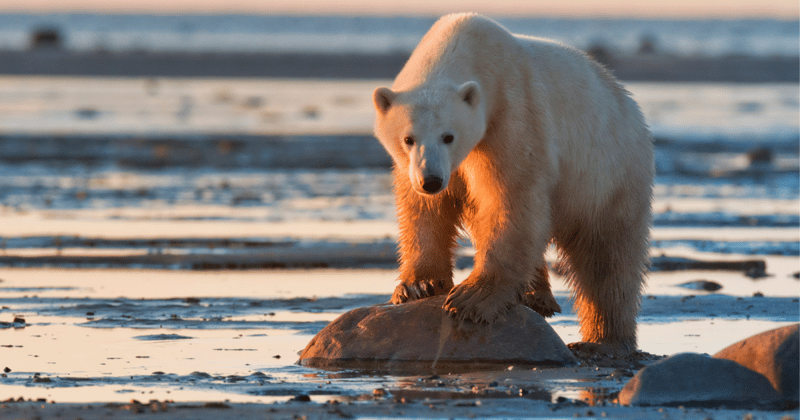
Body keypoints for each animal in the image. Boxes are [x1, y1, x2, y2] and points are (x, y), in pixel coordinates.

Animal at [372, 13, 652, 354]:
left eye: (449, 136)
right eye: (408, 139)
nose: (432, 180)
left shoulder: (512, 117)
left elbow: (512, 200)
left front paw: (471, 299)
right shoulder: (418, 168)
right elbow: (425, 211)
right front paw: (418, 286)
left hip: (608, 174)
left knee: (607, 257)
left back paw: (605, 338)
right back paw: (537, 295)